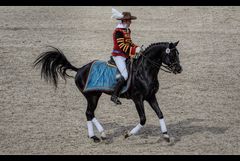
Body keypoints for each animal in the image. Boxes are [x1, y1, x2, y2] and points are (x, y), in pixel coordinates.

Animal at [33, 41, 182, 143]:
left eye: (178, 54)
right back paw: (98, 135)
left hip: (95, 95)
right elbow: (143, 119)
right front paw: (128, 134)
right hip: (92, 97)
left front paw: (166, 135)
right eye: (171, 54)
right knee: (89, 113)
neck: (144, 71)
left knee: (90, 113)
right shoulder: (138, 99)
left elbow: (160, 113)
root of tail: (80, 69)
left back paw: (98, 135)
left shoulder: (151, 96)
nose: (179, 69)